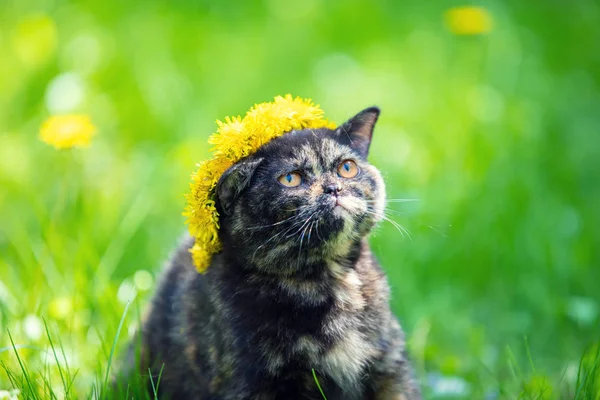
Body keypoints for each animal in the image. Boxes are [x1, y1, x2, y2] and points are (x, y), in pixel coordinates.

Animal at [113, 107, 422, 400]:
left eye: (347, 168)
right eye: (290, 179)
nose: (334, 188)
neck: (323, 279)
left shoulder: (389, 368)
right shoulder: (253, 382)